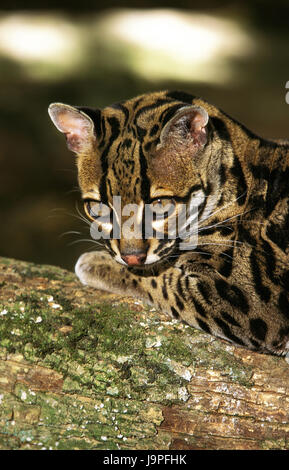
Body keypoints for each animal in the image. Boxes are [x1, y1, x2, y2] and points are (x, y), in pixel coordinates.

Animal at [48, 90, 288, 354]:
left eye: (161, 204)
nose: (131, 257)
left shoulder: (254, 303)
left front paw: (96, 263)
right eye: (98, 208)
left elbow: (165, 282)